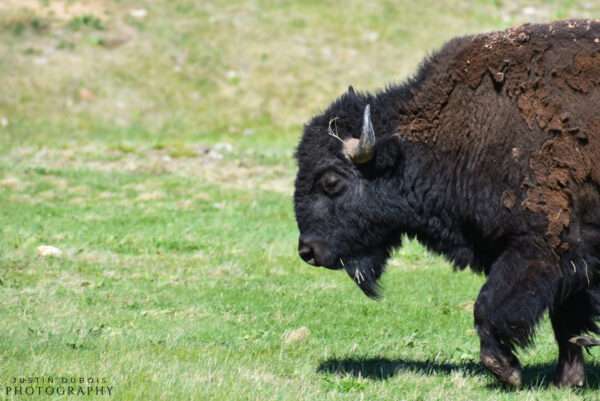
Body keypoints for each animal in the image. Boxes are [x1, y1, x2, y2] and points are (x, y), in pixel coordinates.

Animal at [296, 20, 600, 386]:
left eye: (330, 181)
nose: (307, 251)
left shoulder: (541, 247)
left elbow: (491, 305)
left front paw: (506, 370)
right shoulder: (572, 261)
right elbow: (567, 320)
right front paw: (568, 380)